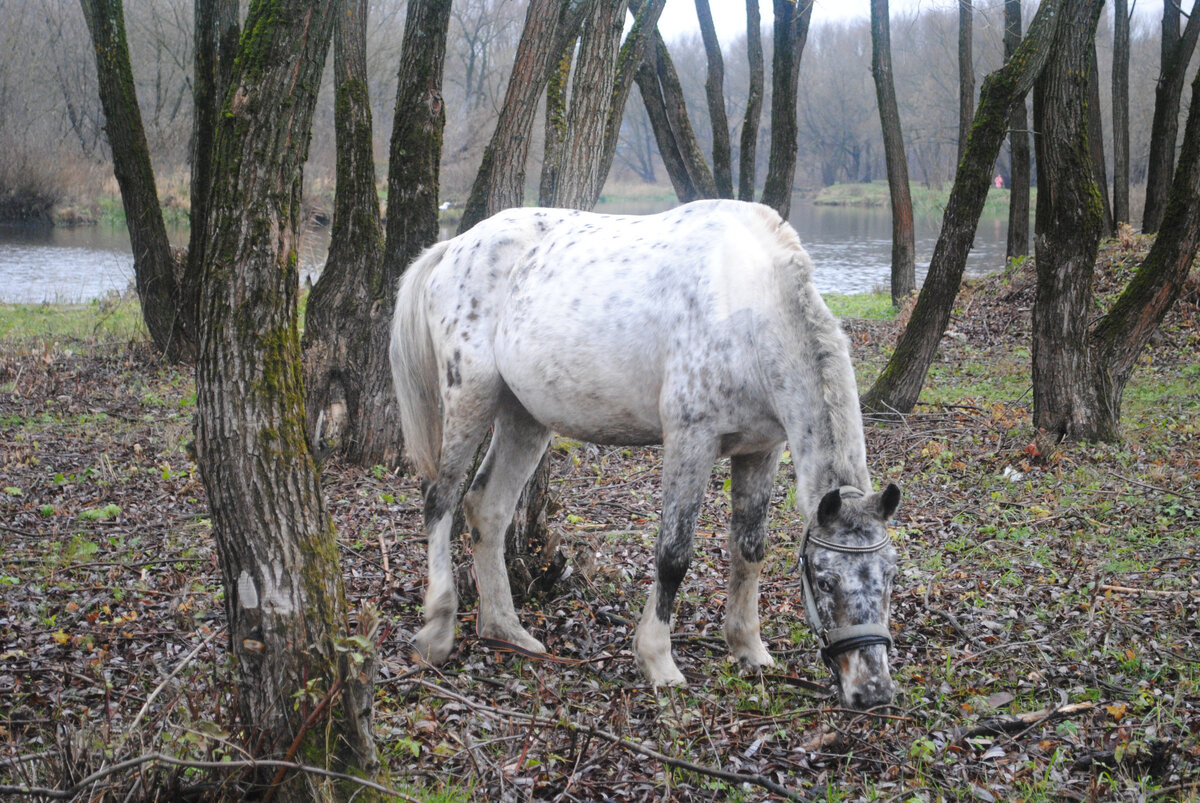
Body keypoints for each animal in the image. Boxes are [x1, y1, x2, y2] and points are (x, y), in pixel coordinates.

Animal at [391, 199, 902, 705]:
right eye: (825, 580)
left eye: (890, 576)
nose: (873, 690)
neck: (745, 305)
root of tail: (455, 247)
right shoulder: (691, 442)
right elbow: (673, 556)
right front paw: (658, 660)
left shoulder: (762, 450)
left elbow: (749, 548)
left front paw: (748, 647)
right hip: (470, 398)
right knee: (440, 502)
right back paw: (438, 631)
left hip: (525, 417)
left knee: (487, 508)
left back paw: (505, 629)